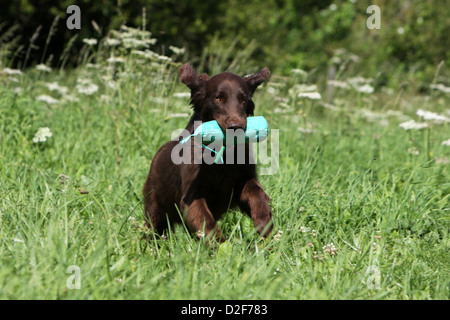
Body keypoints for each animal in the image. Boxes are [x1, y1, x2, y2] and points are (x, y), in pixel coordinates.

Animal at [142, 63, 272, 241]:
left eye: (243, 99)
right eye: (218, 98)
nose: (236, 127)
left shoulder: (243, 179)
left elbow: (257, 192)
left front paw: (264, 220)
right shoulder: (192, 195)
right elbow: (206, 224)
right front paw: (221, 246)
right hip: (155, 207)